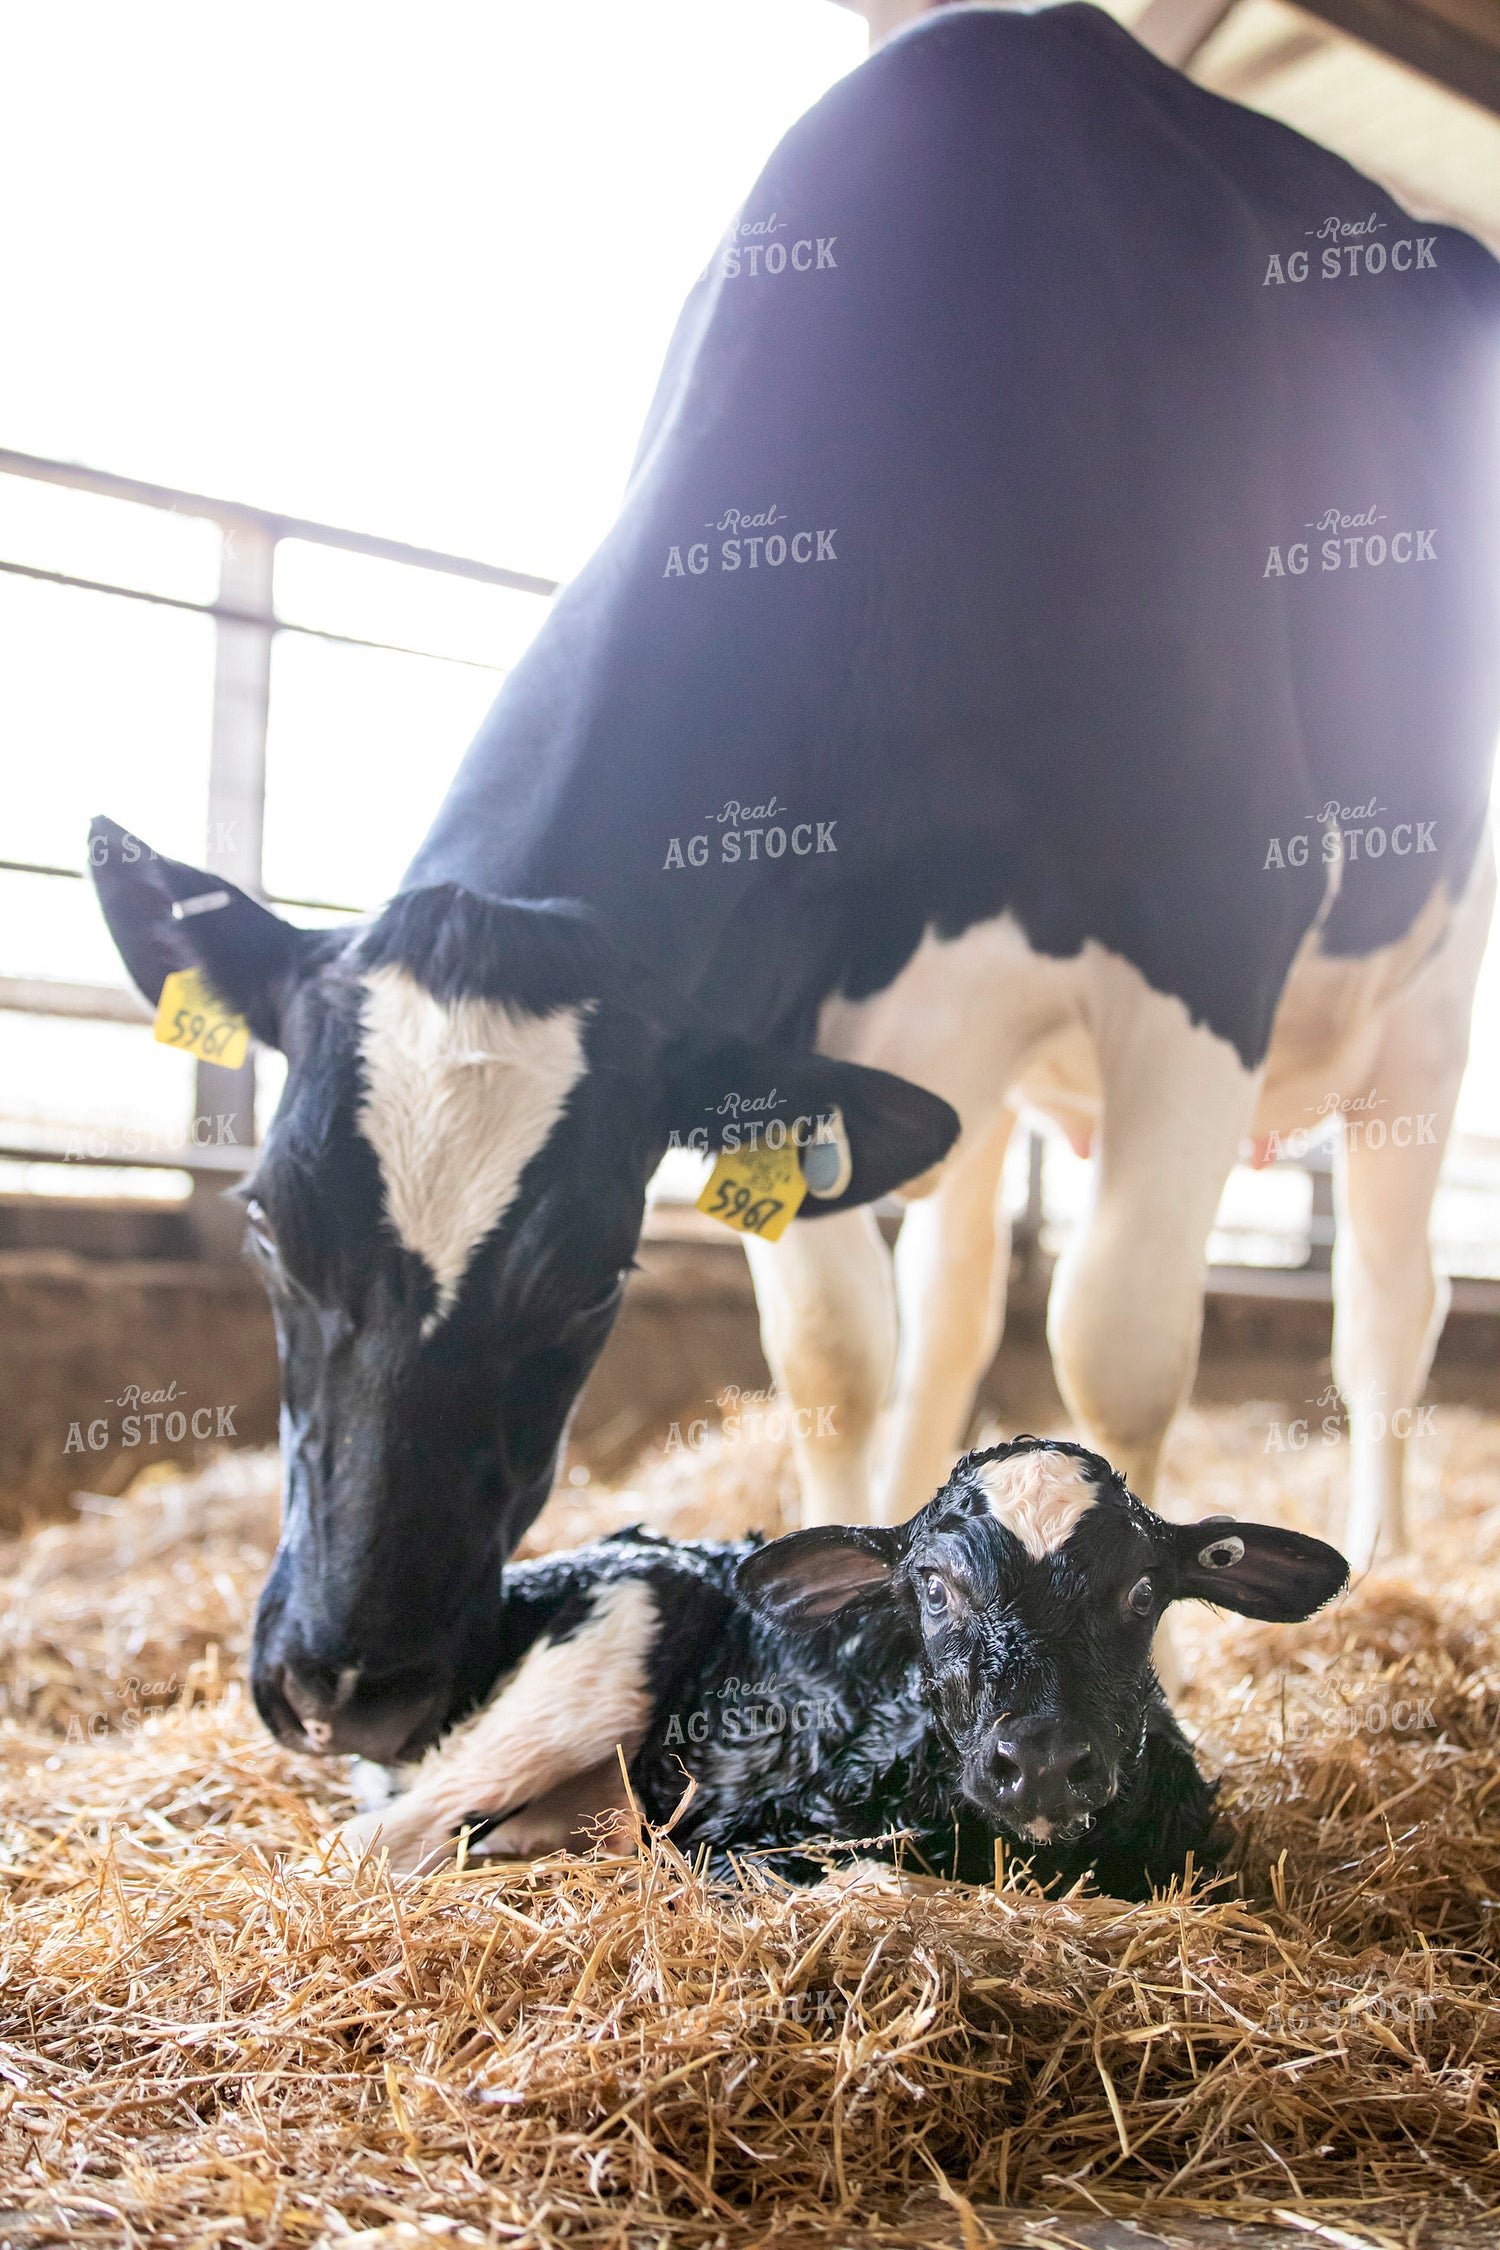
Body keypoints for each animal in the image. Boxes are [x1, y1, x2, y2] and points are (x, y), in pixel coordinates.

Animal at [90, 2, 1500, 1768]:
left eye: (590, 1272)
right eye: (269, 1227)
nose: (346, 1680)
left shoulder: (1205, 945)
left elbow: (1116, 1342)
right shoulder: (770, 1010)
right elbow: (835, 1352)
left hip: (1427, 992)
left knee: (1386, 1300)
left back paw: (1383, 1552)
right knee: (958, 1302)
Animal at [335, 1437, 1349, 1894]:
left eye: (1143, 1591)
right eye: (933, 1588)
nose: (1044, 1760)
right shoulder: (740, 1834)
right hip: (599, 1654)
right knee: (382, 1836)